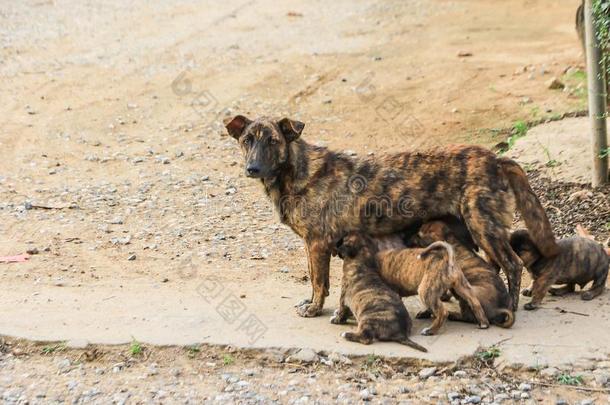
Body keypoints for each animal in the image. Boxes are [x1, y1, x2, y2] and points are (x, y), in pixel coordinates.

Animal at [223, 115, 556, 314]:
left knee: (512, 264)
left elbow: (319, 281)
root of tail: (496, 159)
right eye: (247, 141)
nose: (252, 168)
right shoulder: (311, 245)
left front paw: (315, 308)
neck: (297, 170)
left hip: (483, 225)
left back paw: (511, 305)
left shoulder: (317, 244)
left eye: (273, 141)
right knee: (494, 265)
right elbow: (315, 279)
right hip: (477, 230)